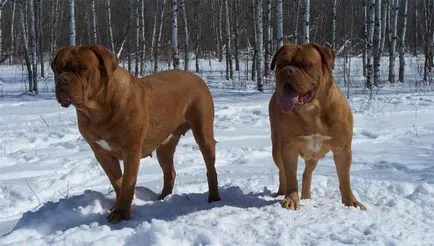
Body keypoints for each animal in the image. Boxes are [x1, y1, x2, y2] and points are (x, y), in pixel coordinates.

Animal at [50, 44, 220, 223]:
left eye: (81, 68)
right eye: (57, 70)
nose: (62, 80)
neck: (98, 110)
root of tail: (196, 77)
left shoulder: (131, 151)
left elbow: (127, 181)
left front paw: (120, 213)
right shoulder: (102, 153)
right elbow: (118, 181)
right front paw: (118, 206)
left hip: (203, 133)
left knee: (210, 168)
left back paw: (213, 197)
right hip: (164, 147)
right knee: (169, 172)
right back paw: (162, 198)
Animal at [268, 43, 366, 210]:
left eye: (306, 65)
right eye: (281, 64)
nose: (287, 70)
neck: (312, 109)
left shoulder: (342, 149)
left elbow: (344, 179)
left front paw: (351, 202)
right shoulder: (289, 147)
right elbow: (291, 176)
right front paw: (291, 199)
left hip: (314, 156)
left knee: (307, 174)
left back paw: (307, 197)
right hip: (277, 148)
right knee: (282, 171)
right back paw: (282, 192)